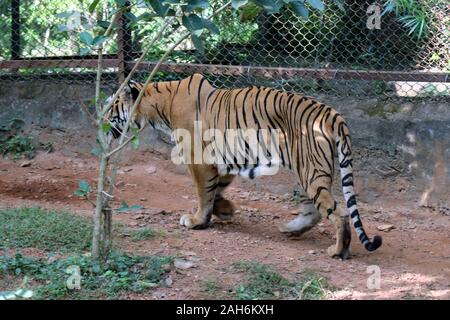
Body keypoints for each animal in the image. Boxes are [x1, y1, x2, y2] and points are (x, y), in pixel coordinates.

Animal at [107, 74, 382, 258]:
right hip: (305, 172)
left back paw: (337, 250)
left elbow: (203, 194)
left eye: (111, 108)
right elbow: (216, 191)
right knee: (314, 210)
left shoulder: (199, 160)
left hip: (310, 171)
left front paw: (197, 221)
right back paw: (290, 229)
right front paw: (225, 210)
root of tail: (332, 114)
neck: (159, 105)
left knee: (339, 212)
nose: (102, 121)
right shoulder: (225, 162)